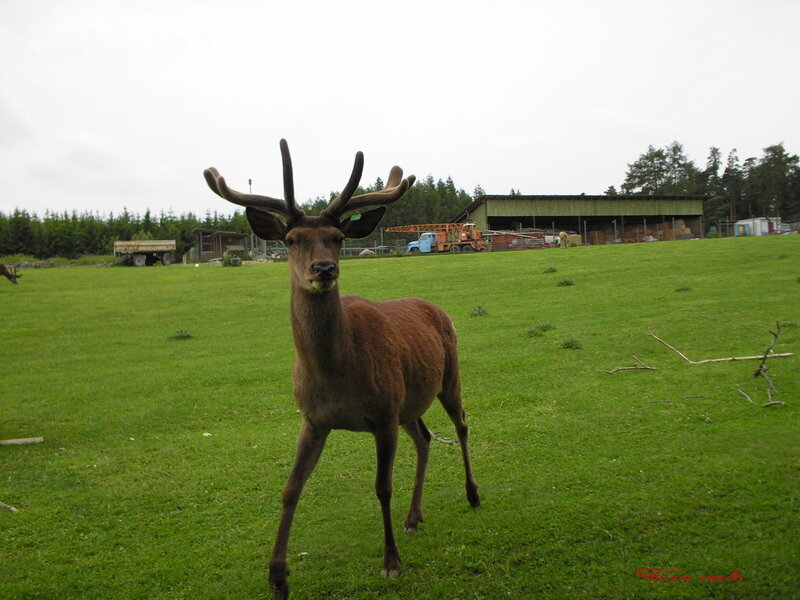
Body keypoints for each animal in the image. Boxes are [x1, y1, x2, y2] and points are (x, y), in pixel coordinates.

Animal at [203, 140, 480, 599]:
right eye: (291, 239)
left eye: (336, 238)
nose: (324, 269)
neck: (335, 373)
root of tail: (436, 308)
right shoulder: (314, 419)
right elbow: (290, 488)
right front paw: (277, 575)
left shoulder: (383, 412)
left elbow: (382, 487)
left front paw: (390, 562)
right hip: (409, 402)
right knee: (424, 438)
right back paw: (414, 517)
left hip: (448, 375)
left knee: (460, 424)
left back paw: (472, 494)